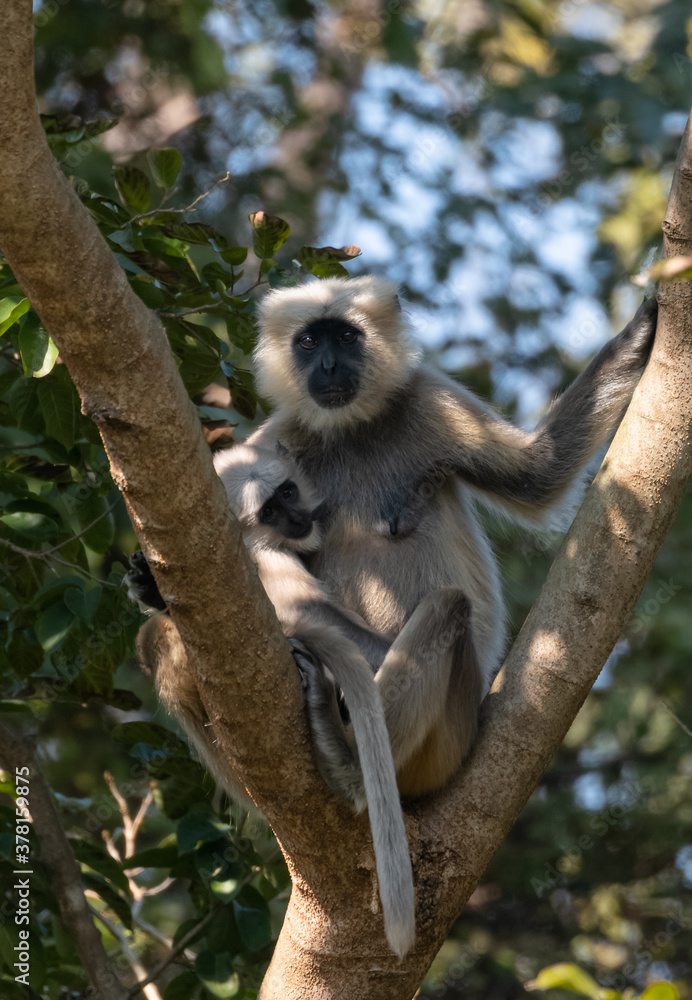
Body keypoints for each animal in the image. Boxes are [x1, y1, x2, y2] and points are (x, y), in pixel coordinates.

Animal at [242, 274, 658, 798]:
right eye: (310, 342)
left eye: (347, 337)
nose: (330, 365)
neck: (350, 429)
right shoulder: (276, 437)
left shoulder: (428, 396)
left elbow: (539, 473)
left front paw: (641, 329)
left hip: (446, 742)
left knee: (447, 606)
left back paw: (346, 763)